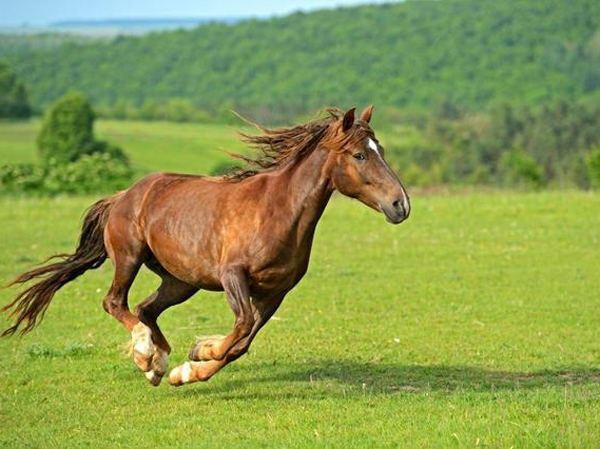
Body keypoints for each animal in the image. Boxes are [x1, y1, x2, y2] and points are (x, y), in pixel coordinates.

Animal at [0, 105, 410, 384]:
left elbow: (243, 342)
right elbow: (241, 327)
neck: (277, 211)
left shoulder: (275, 292)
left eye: (382, 150)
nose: (400, 205)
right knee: (116, 302)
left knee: (146, 309)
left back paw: (158, 365)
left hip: (182, 281)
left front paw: (189, 366)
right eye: (359, 154)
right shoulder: (233, 276)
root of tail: (122, 196)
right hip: (130, 258)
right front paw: (199, 354)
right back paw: (145, 353)